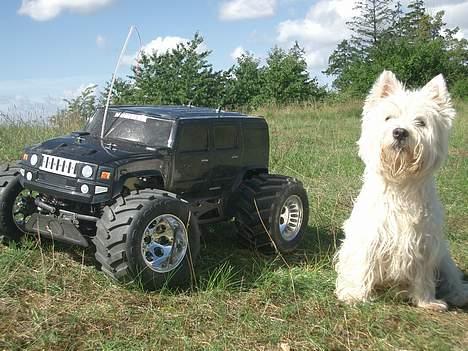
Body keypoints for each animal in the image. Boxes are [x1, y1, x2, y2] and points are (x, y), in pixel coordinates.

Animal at [334, 71, 468, 310]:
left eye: (421, 122)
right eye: (389, 118)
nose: (399, 132)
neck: (401, 184)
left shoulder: (424, 243)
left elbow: (423, 275)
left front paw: (427, 301)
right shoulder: (370, 236)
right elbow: (364, 263)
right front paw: (355, 295)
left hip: (444, 257)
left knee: (451, 277)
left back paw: (458, 294)